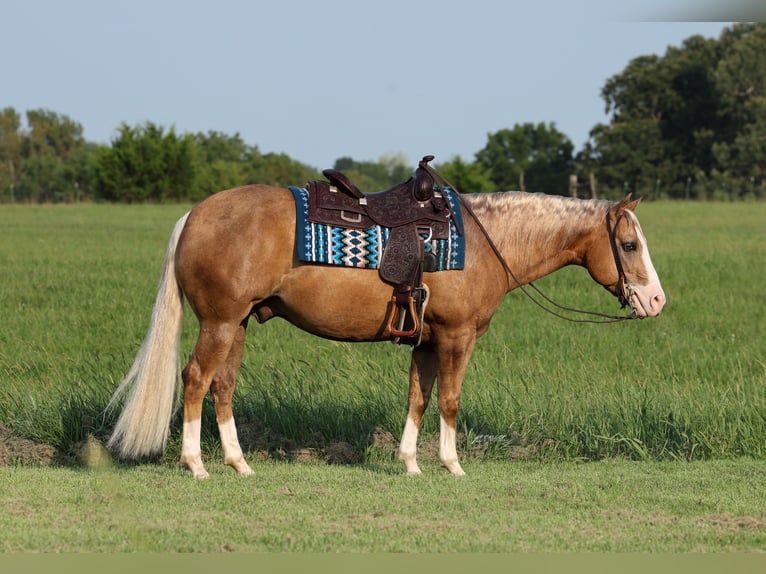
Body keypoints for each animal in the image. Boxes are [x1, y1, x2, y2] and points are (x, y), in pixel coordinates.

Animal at [106, 183, 666, 479]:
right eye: (629, 245)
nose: (657, 300)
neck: (484, 242)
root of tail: (194, 214)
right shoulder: (457, 337)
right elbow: (450, 401)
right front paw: (452, 465)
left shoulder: (427, 341)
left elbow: (419, 397)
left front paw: (410, 463)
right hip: (219, 324)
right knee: (197, 380)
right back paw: (195, 464)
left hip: (238, 324)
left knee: (222, 387)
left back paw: (239, 464)